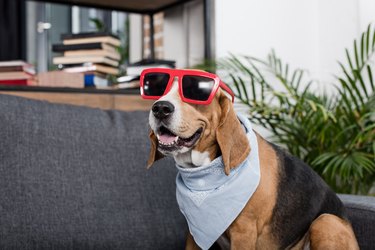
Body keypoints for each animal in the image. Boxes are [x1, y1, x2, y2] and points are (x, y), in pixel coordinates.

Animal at [144, 71, 358, 249]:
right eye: (158, 89)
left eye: (194, 91)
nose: (160, 108)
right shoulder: (194, 234)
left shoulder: (243, 232)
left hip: (325, 221)